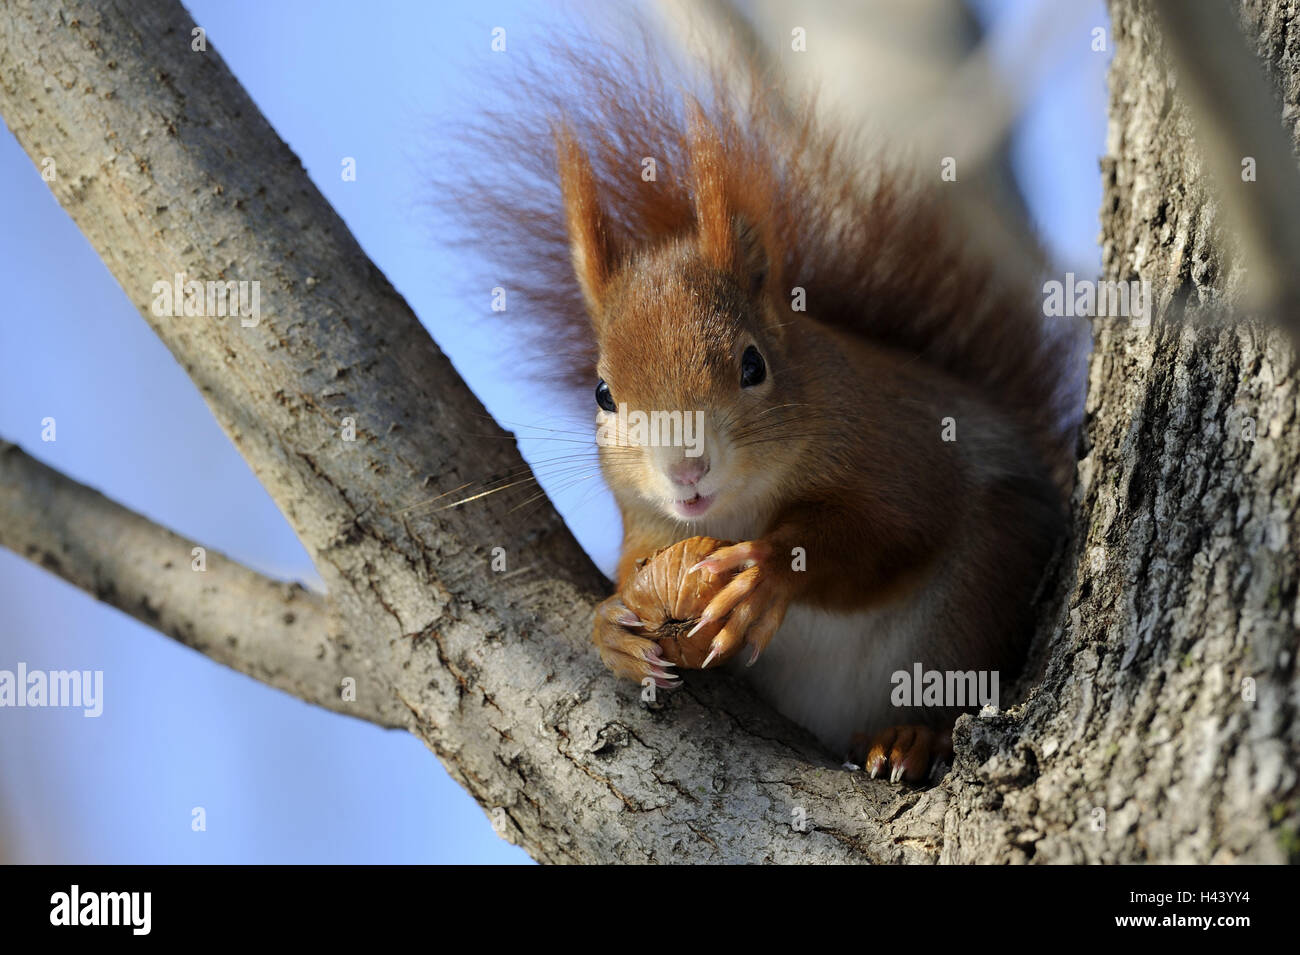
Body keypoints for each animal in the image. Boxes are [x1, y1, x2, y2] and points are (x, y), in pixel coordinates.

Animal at [447, 41, 1076, 779]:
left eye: (753, 365)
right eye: (602, 395)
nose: (686, 470)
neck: (738, 509)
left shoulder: (905, 449)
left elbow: (891, 534)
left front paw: (763, 573)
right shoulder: (645, 520)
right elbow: (632, 568)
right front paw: (612, 621)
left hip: (980, 587)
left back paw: (911, 738)